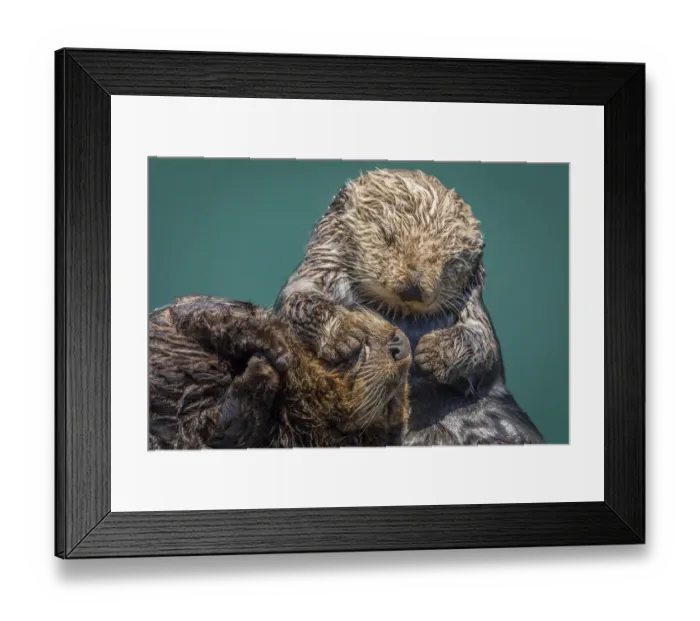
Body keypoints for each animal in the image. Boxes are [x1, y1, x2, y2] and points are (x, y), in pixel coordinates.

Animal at [148, 295, 412, 449]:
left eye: (390, 406)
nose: (401, 346)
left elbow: (222, 431)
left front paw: (264, 368)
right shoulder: (191, 311)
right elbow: (227, 314)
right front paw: (342, 334)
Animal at [275, 169, 544, 445]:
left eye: (451, 261)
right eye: (387, 236)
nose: (412, 288)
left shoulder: (472, 308)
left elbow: (482, 343)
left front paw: (433, 353)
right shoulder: (318, 272)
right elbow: (300, 303)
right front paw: (346, 333)